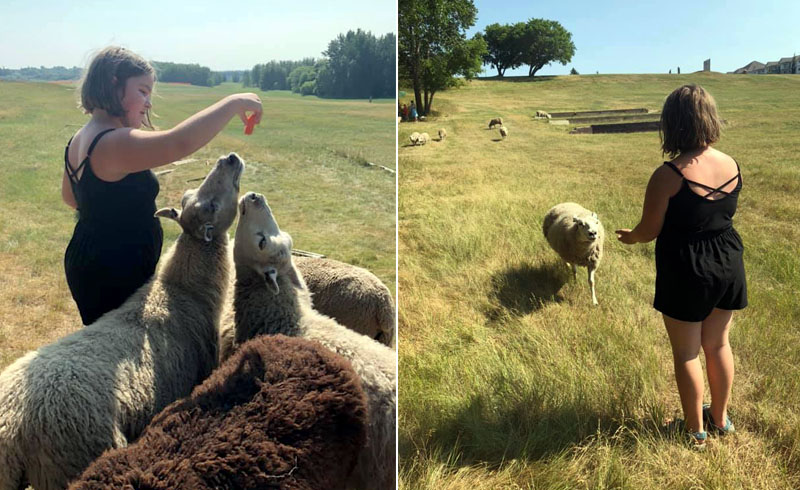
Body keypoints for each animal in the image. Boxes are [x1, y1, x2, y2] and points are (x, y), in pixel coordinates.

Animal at [0, 154, 245, 490]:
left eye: (188, 197)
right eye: (210, 207)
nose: (229, 159)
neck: (183, 291)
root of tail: (10, 429)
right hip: (71, 460)